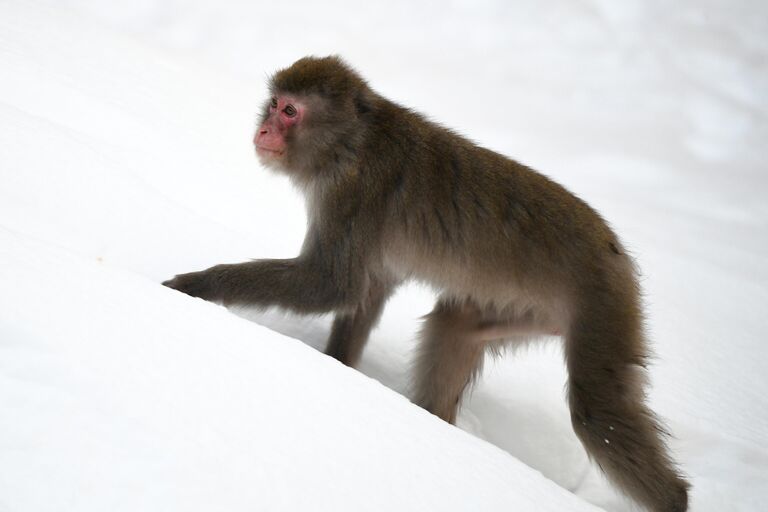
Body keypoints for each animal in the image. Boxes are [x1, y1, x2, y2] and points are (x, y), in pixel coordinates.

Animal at [162, 56, 688, 512]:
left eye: (291, 111)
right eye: (273, 103)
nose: (265, 129)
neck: (350, 143)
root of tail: (615, 250)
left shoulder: (352, 193)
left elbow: (332, 285)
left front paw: (195, 286)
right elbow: (367, 291)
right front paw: (337, 368)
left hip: (603, 302)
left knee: (598, 412)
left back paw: (674, 497)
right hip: (526, 308)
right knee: (454, 325)